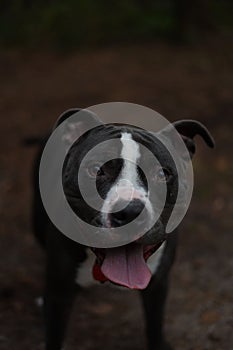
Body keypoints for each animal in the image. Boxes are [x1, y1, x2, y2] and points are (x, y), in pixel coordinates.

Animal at [29, 108, 215, 348]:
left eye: (163, 174)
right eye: (95, 170)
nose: (130, 212)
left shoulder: (158, 284)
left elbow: (155, 326)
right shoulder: (59, 294)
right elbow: (54, 336)